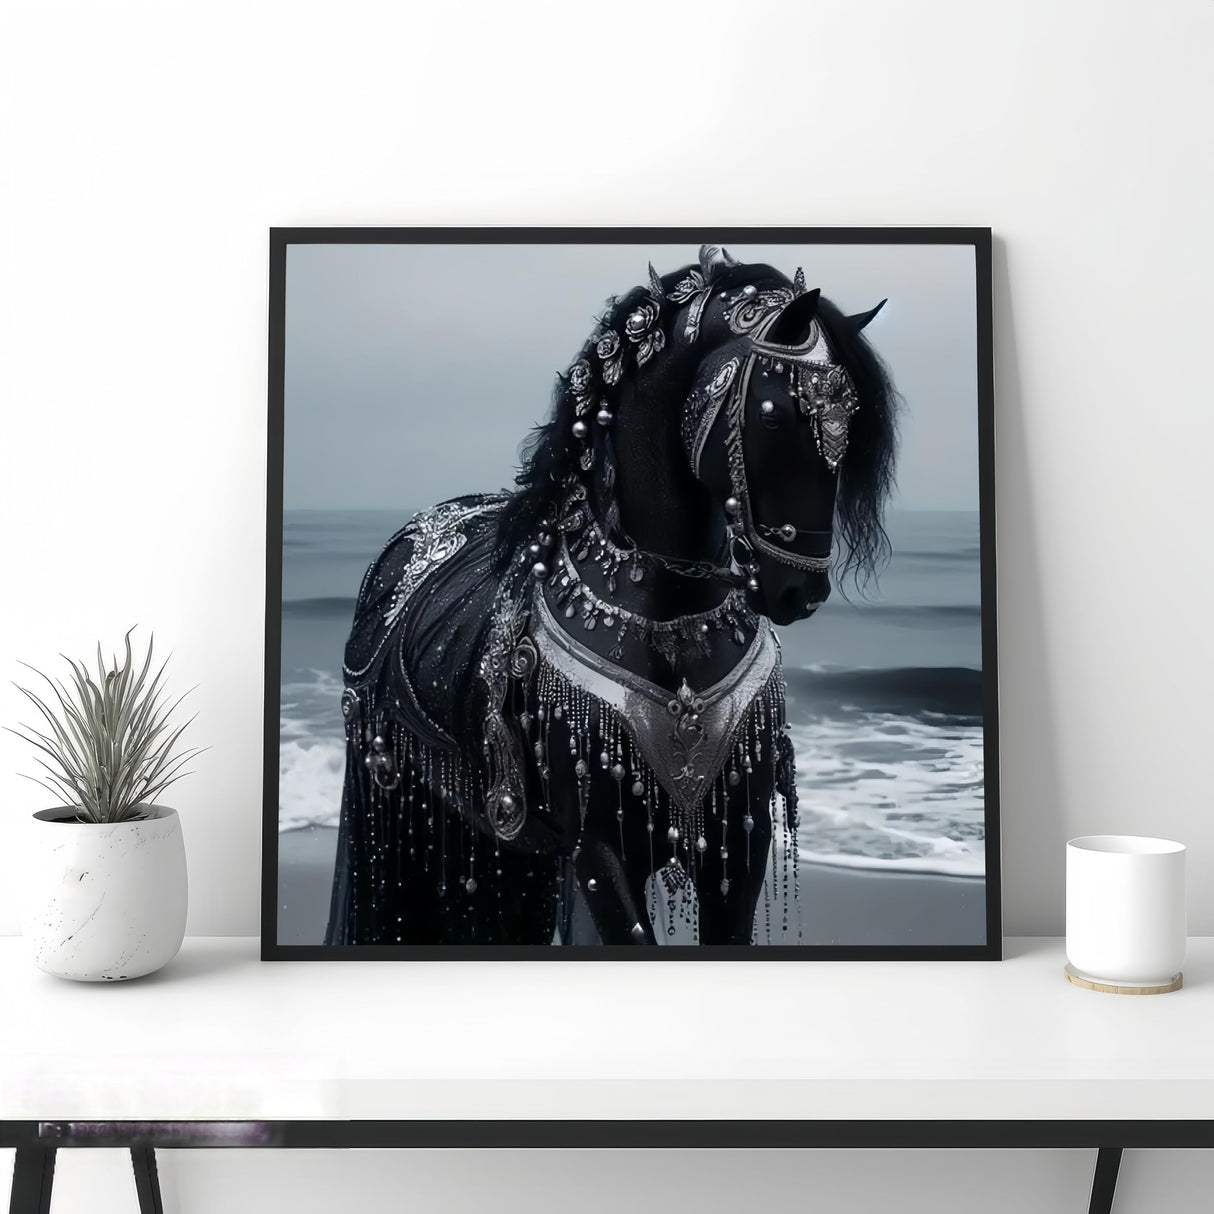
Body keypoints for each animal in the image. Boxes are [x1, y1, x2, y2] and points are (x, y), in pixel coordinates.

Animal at [324, 245, 898, 947]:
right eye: (776, 414)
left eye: (853, 423)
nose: (802, 590)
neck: (672, 617)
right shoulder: (599, 848)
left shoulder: (738, 839)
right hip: (397, 804)